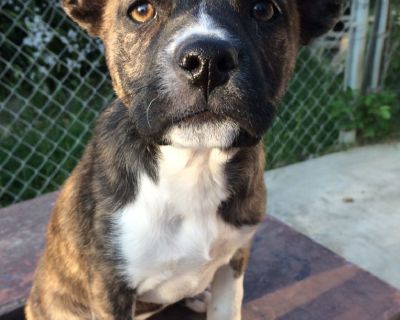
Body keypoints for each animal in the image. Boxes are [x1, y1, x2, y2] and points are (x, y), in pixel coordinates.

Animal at [26, 0, 342, 320]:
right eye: (141, 11)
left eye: (264, 10)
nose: (207, 62)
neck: (193, 165)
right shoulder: (110, 287)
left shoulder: (235, 258)